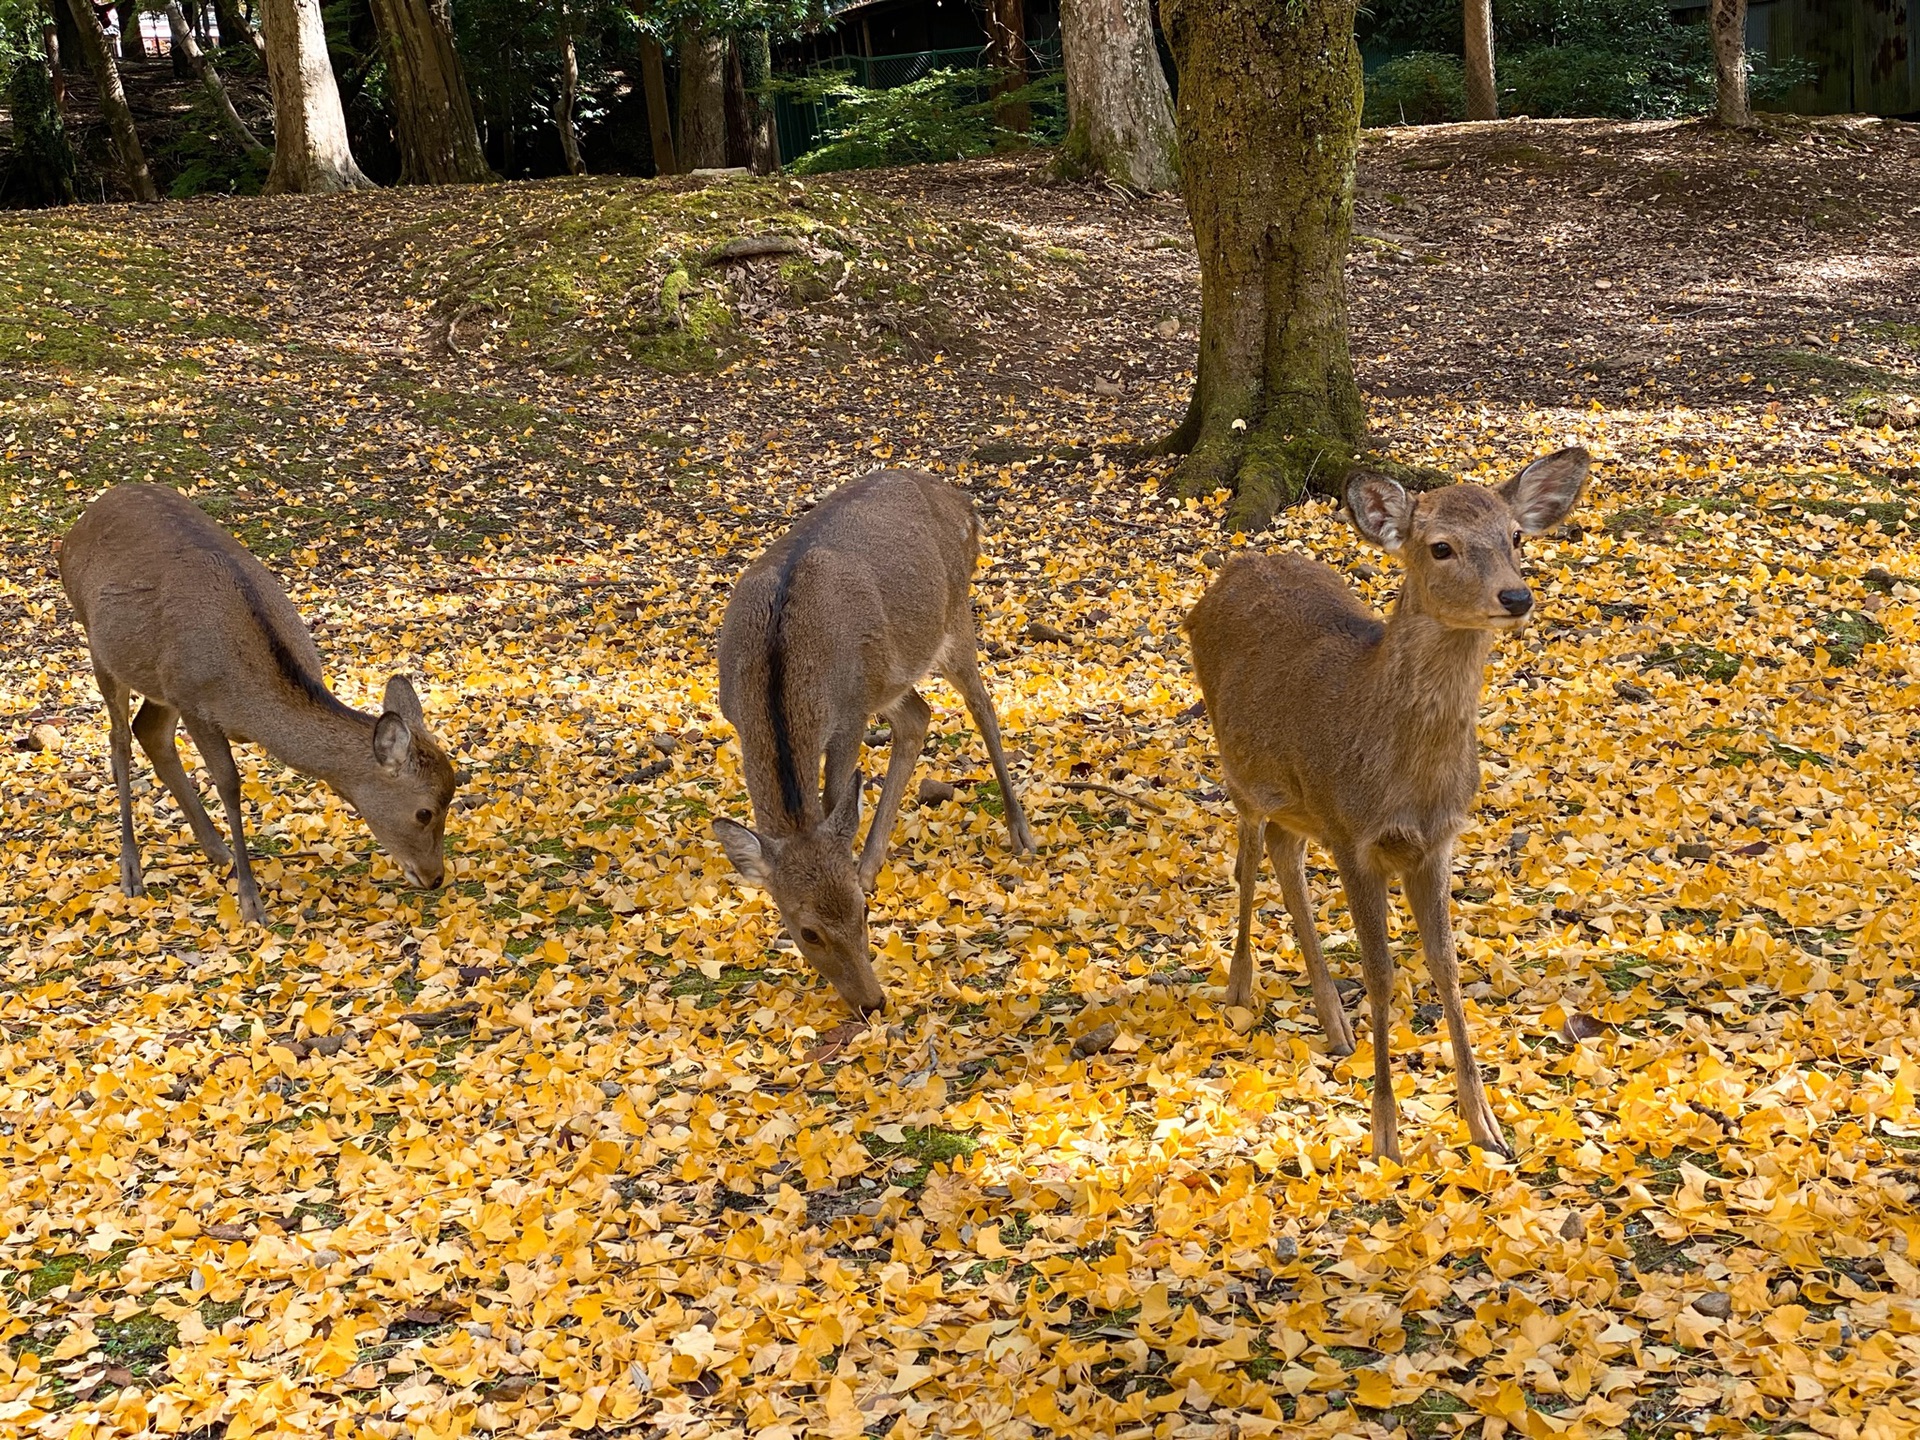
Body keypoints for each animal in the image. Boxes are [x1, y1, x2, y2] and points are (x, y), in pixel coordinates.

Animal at [60, 485, 464, 925]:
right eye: (424, 812)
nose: (435, 877)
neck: (249, 705)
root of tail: (80, 523)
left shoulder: (179, 691)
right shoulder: (195, 701)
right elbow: (229, 784)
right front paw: (251, 901)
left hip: (156, 678)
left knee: (148, 730)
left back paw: (217, 851)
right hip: (99, 646)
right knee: (119, 739)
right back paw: (132, 871)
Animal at [714, 470, 1036, 1013]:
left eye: (862, 914)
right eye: (808, 932)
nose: (872, 1002)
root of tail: (964, 503)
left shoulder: (850, 714)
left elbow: (833, 800)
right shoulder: (737, 716)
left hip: (952, 618)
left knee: (983, 705)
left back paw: (1021, 832)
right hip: (892, 676)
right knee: (919, 715)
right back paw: (872, 861)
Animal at [1182, 451, 1589, 1159]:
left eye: (1516, 536)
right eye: (1441, 547)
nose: (1516, 597)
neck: (1404, 776)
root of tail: (1233, 568)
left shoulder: (1436, 841)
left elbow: (1447, 969)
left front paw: (1486, 1127)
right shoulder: (1354, 834)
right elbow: (1381, 974)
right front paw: (1385, 1137)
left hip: (1300, 799)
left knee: (1285, 852)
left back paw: (1333, 1022)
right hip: (1241, 771)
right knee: (1249, 857)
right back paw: (1240, 985)